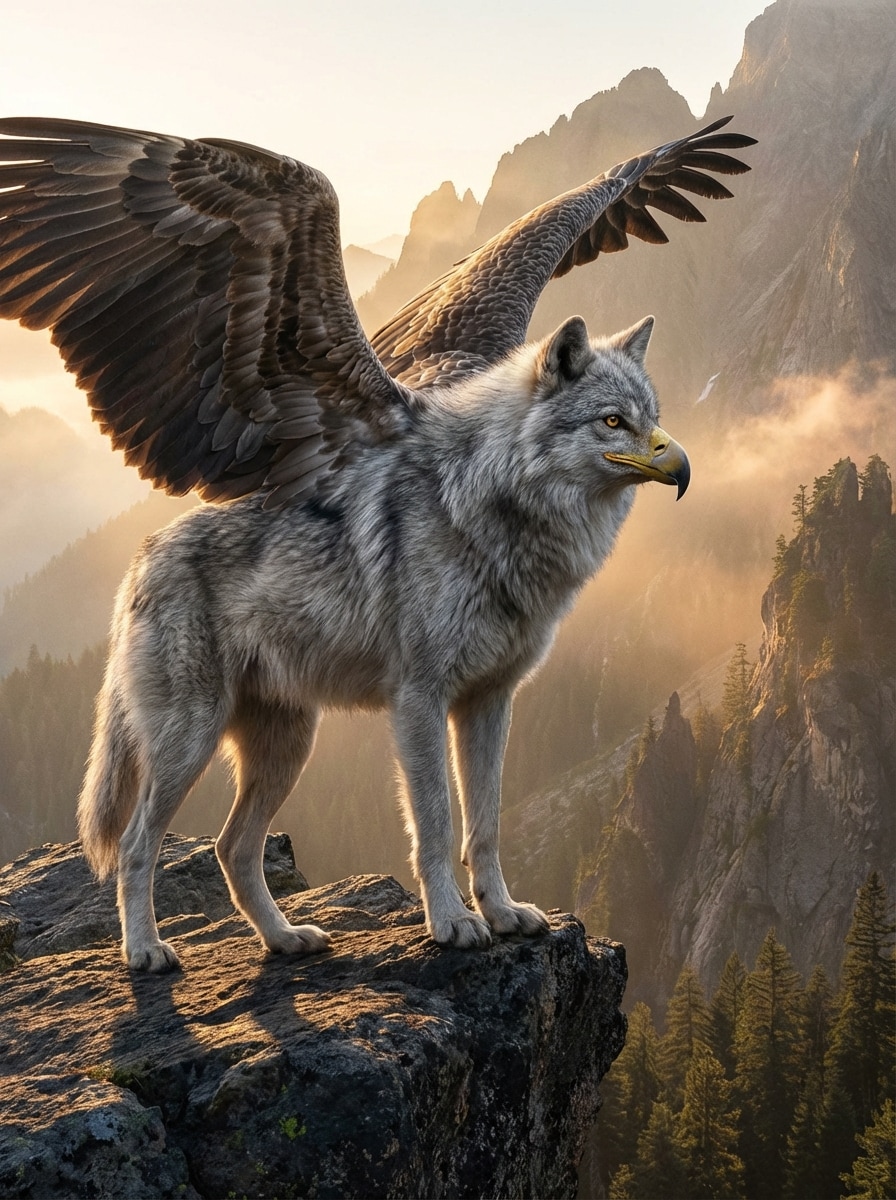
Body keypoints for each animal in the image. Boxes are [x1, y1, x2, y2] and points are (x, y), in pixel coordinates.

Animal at [0, 116, 752, 969]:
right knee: (135, 844)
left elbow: (485, 825)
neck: (492, 509)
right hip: (189, 738)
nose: (681, 464)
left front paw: (505, 913)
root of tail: (140, 558)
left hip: (287, 741)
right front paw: (453, 924)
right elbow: (436, 826)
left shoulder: (490, 701)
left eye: (652, 415)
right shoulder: (419, 701)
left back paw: (285, 938)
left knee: (231, 847)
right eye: (612, 422)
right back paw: (146, 953)